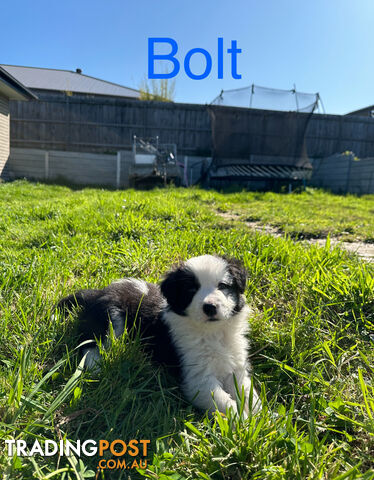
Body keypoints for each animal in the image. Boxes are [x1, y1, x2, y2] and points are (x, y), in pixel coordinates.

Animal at [58, 255, 262, 416]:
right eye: (191, 290)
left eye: (223, 286)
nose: (210, 307)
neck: (214, 332)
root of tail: (97, 292)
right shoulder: (197, 378)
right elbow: (224, 401)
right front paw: (243, 423)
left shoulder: (236, 367)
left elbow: (248, 393)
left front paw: (262, 418)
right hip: (112, 319)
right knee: (90, 344)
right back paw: (96, 368)